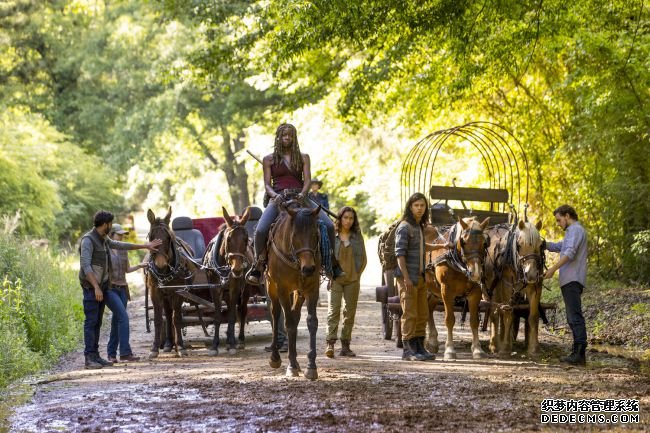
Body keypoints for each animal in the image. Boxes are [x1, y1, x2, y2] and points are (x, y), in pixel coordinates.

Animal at [145, 206, 200, 358]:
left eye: (168, 237)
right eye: (151, 237)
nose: (160, 264)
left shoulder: (178, 292)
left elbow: (177, 319)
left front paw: (180, 346)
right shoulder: (155, 291)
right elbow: (159, 319)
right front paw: (154, 348)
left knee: (173, 315)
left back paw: (174, 344)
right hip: (165, 295)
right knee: (168, 315)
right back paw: (169, 344)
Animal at [202, 207, 251, 354]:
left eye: (246, 239)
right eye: (228, 239)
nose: (237, 269)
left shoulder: (235, 288)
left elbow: (232, 317)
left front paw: (233, 344)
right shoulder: (214, 288)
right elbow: (218, 316)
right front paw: (214, 345)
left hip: (245, 290)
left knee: (241, 310)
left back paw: (238, 340)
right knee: (231, 309)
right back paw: (230, 340)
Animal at [264, 199, 320, 378]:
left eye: (316, 235)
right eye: (295, 236)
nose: (308, 268)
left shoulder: (312, 289)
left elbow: (312, 322)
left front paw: (311, 367)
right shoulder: (282, 288)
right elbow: (287, 322)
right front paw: (291, 366)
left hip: (298, 292)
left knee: (295, 316)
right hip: (271, 287)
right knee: (276, 314)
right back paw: (276, 358)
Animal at [428, 216, 488, 362]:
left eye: (485, 243)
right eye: (463, 242)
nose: (475, 273)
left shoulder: (475, 292)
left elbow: (474, 321)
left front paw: (477, 349)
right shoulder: (446, 291)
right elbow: (449, 320)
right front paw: (449, 350)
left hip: (434, 291)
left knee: (429, 308)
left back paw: (432, 341)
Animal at [484, 218, 544, 356]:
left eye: (540, 245)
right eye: (519, 245)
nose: (531, 274)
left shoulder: (535, 287)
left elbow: (533, 316)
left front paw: (534, 348)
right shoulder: (507, 286)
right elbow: (508, 315)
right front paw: (505, 348)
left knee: (498, 312)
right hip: (490, 288)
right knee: (494, 313)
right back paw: (494, 345)